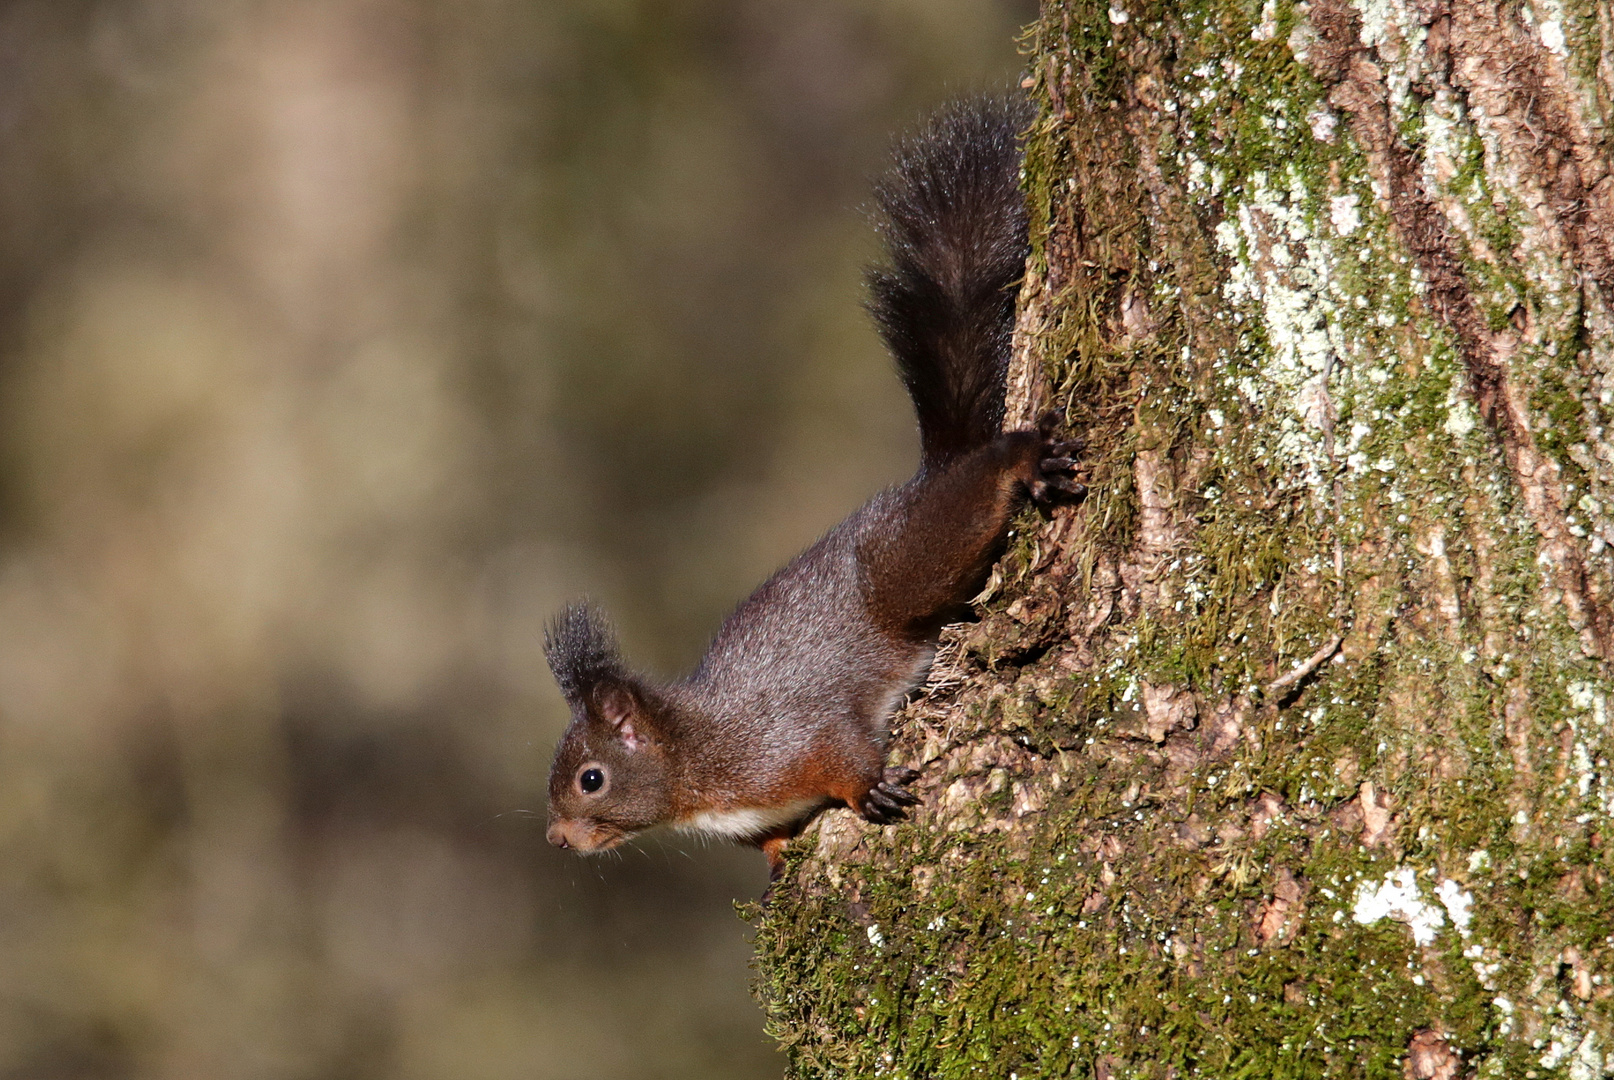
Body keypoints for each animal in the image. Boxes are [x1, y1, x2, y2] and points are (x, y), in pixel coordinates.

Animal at [542, 94, 1084, 878]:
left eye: (592, 778)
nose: (556, 838)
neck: (697, 769)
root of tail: (936, 471)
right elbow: (774, 835)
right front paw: (776, 860)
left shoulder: (787, 739)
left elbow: (842, 748)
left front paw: (867, 790)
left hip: (909, 566)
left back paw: (1022, 457)